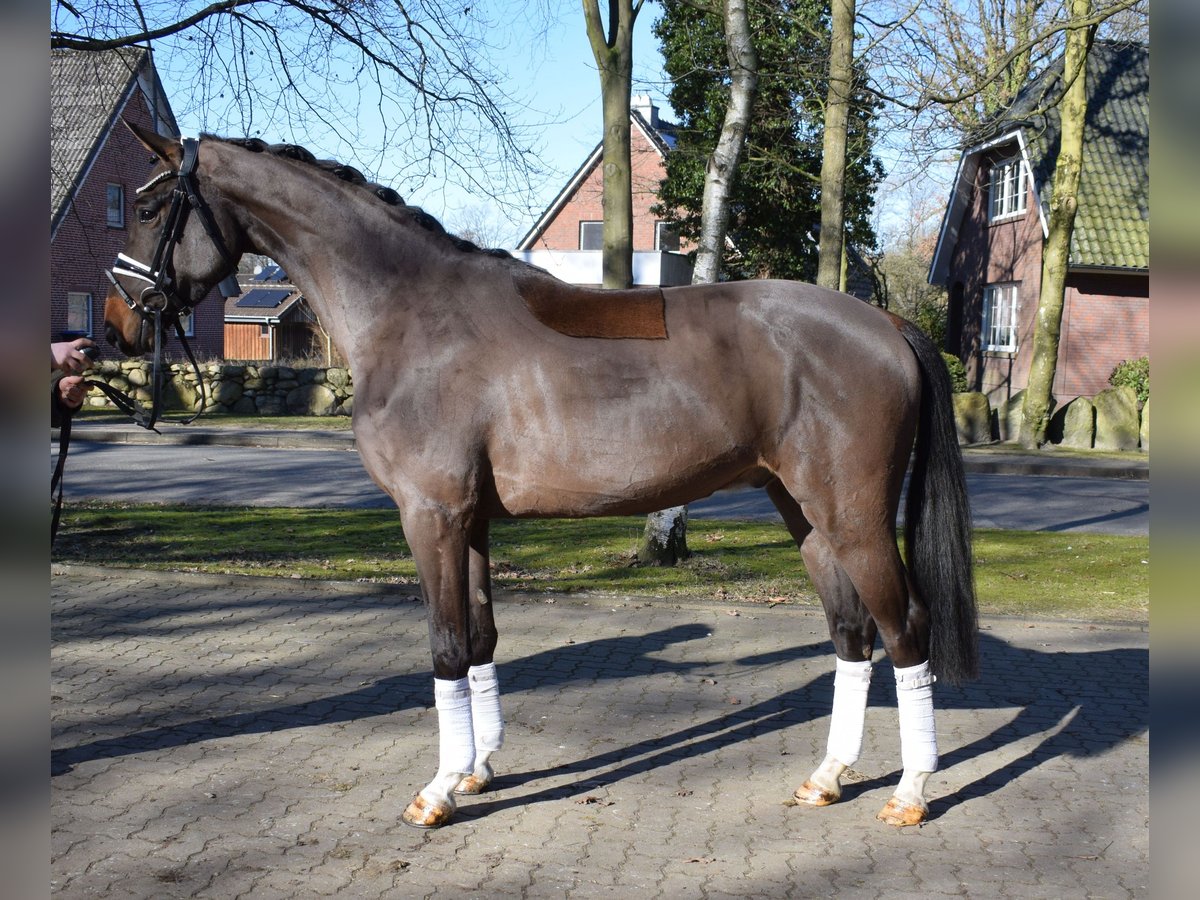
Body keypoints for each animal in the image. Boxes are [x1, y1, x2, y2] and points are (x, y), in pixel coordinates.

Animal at [108, 123, 979, 835]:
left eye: (150, 207)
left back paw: (910, 792)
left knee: (905, 630)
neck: (410, 314)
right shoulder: (470, 521)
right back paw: (828, 778)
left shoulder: (430, 515)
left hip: (854, 517)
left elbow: (446, 647)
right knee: (852, 635)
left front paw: (437, 790)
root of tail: (886, 323)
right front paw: (477, 769)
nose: (119, 322)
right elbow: (482, 638)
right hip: (805, 514)